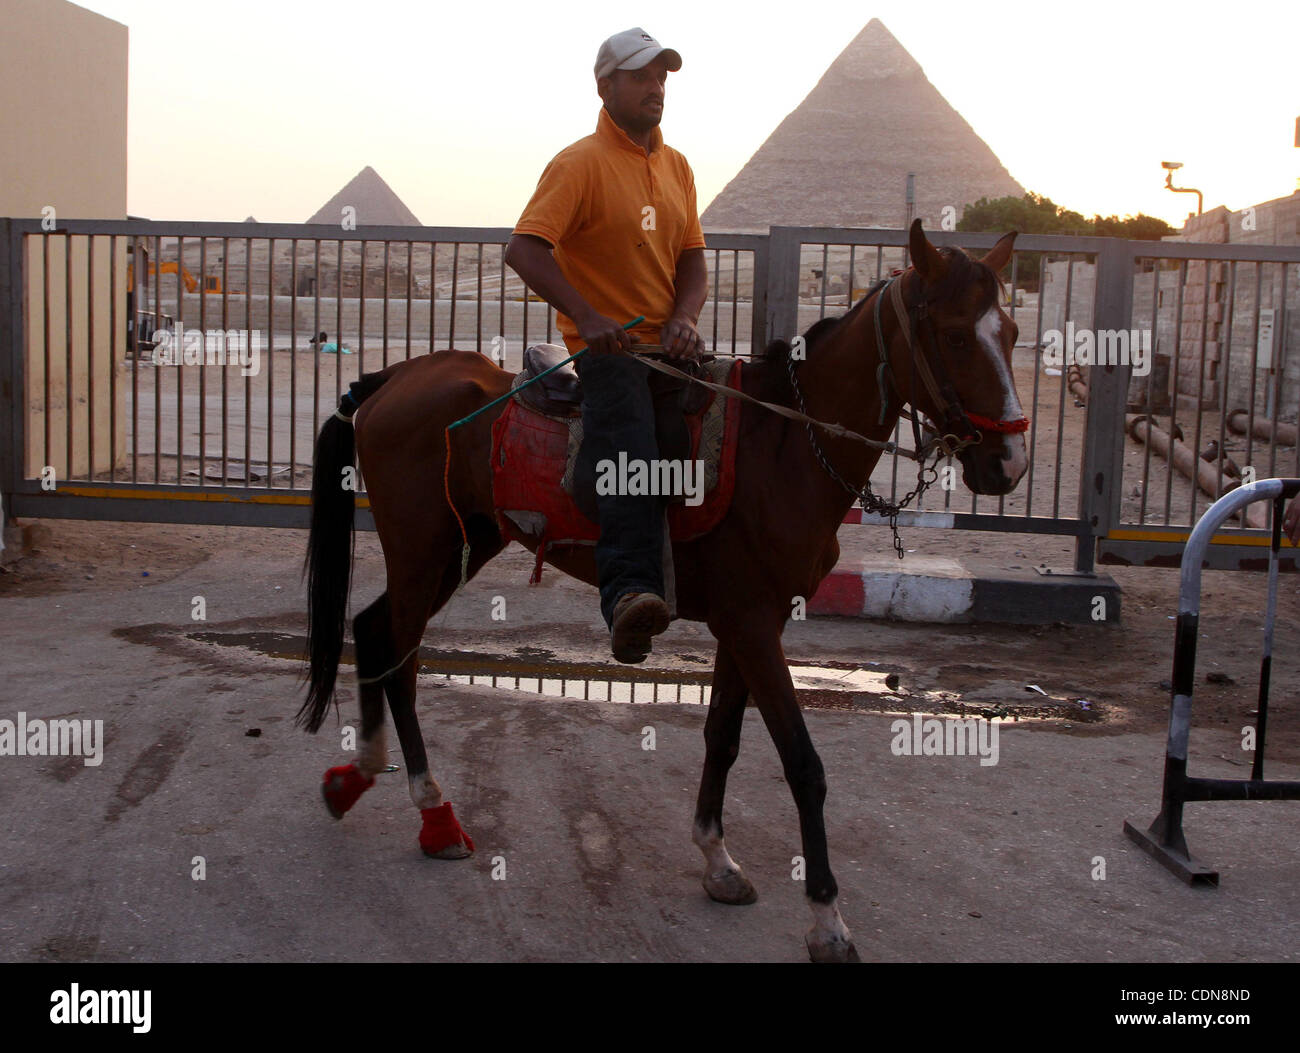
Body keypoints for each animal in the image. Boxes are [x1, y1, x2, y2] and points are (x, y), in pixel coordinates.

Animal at [298, 220, 1027, 962]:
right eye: (956, 335)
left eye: (1014, 333)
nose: (1008, 464)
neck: (786, 443)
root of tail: (390, 378)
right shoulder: (753, 623)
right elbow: (802, 762)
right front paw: (826, 918)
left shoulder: (751, 623)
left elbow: (723, 736)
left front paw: (717, 859)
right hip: (423, 551)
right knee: (397, 652)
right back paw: (433, 811)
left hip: (459, 547)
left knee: (378, 633)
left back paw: (367, 776)